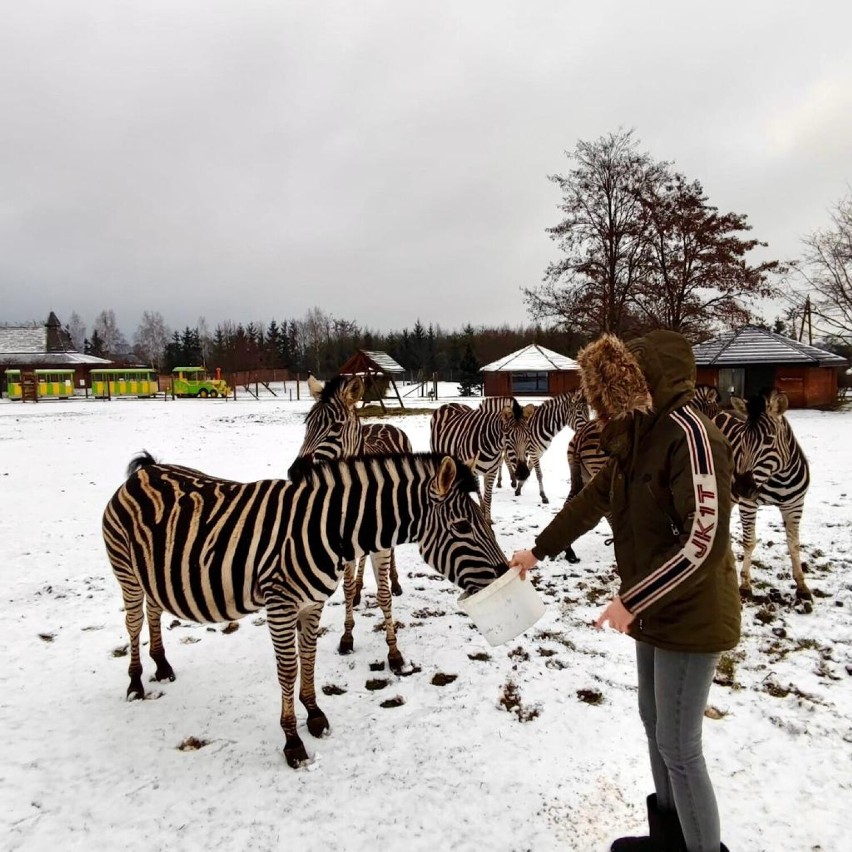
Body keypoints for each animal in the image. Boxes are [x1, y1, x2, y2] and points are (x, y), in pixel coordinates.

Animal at [103, 452, 510, 764]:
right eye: (462, 525)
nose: (506, 572)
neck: (326, 529)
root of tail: (144, 471)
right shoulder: (280, 605)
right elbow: (287, 670)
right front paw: (292, 741)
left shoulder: (311, 603)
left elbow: (309, 659)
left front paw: (314, 716)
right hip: (127, 573)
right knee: (134, 622)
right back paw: (136, 682)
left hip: (153, 575)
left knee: (154, 613)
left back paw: (162, 665)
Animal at [712, 392, 812, 600]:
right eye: (743, 438)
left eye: (769, 440)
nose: (742, 487)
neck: (781, 478)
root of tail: (723, 411)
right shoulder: (748, 504)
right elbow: (749, 542)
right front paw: (745, 584)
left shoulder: (795, 505)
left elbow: (794, 544)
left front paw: (801, 584)